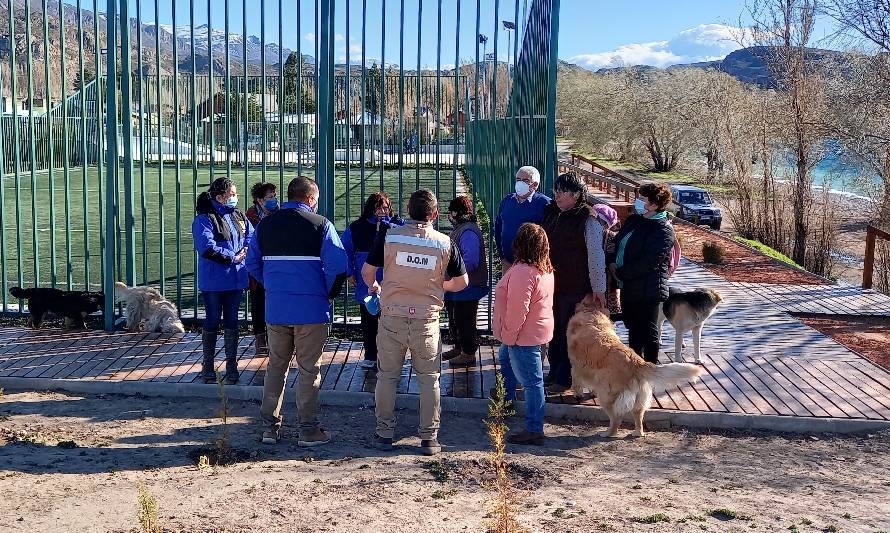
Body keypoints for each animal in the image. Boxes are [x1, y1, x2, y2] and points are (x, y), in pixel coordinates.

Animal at [564, 296, 704, 436]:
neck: (591, 312)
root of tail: (637, 362)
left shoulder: (576, 365)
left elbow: (576, 380)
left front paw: (577, 394)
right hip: (638, 397)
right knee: (638, 415)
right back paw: (637, 433)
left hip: (607, 396)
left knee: (616, 418)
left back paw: (607, 433)